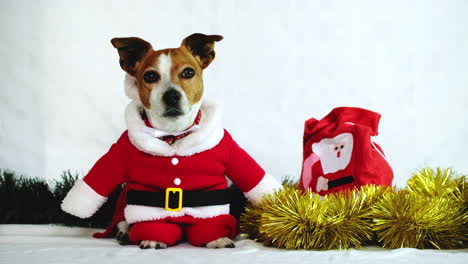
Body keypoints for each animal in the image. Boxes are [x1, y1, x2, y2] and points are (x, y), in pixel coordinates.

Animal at [62, 33, 282, 250]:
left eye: (188, 72)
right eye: (150, 76)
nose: (172, 95)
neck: (173, 135)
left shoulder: (228, 149)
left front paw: (217, 238)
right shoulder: (122, 151)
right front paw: (152, 238)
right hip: (126, 199)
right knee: (124, 220)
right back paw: (125, 233)